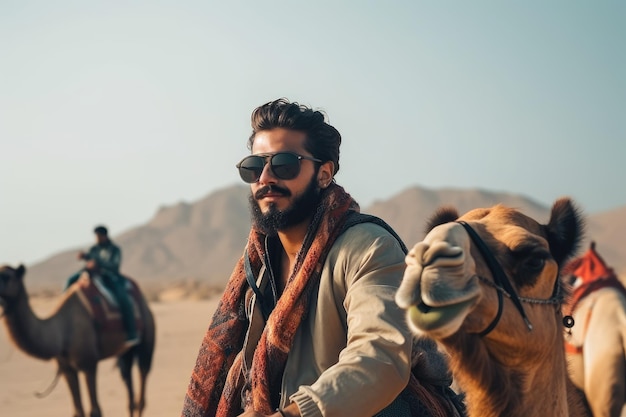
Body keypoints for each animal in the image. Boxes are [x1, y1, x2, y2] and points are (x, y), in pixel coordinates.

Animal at [0, 264, 155, 414]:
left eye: (7, 277)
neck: (62, 331)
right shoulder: (67, 369)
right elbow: (77, 411)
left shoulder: (89, 364)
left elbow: (95, 411)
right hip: (125, 352)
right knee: (129, 385)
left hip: (147, 335)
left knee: (142, 384)